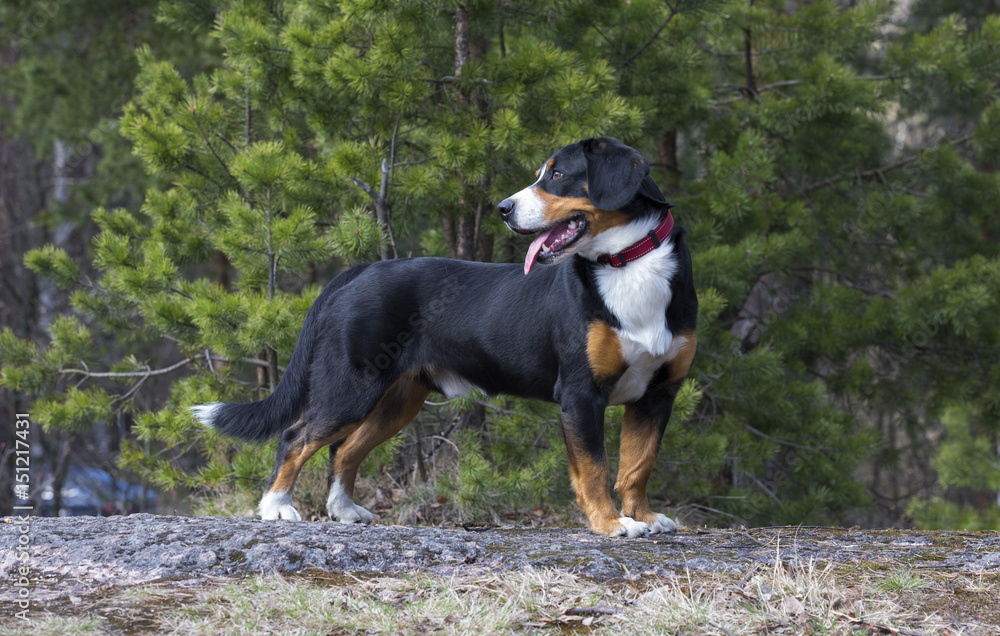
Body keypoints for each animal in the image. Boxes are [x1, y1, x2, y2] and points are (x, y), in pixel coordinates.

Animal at [191, 135, 700, 536]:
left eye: (557, 175)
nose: (503, 209)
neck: (628, 264)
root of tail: (361, 269)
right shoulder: (579, 393)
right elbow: (594, 468)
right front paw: (611, 523)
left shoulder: (658, 394)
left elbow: (637, 465)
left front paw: (644, 516)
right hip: (350, 386)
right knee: (297, 436)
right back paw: (277, 508)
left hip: (397, 399)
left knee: (344, 449)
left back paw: (345, 510)